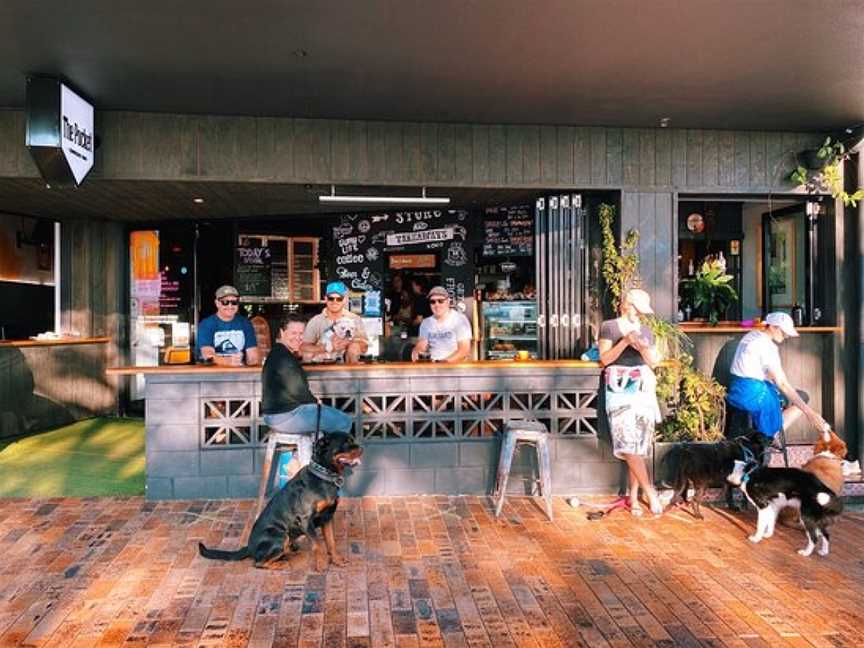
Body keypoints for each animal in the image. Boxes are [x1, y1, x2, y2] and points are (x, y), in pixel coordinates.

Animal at [198, 432, 362, 568]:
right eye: (346, 442)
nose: (362, 448)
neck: (324, 476)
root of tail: (249, 547)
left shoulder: (327, 517)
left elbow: (331, 542)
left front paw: (337, 560)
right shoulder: (305, 519)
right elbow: (318, 545)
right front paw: (321, 565)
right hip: (280, 536)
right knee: (258, 563)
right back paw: (281, 563)